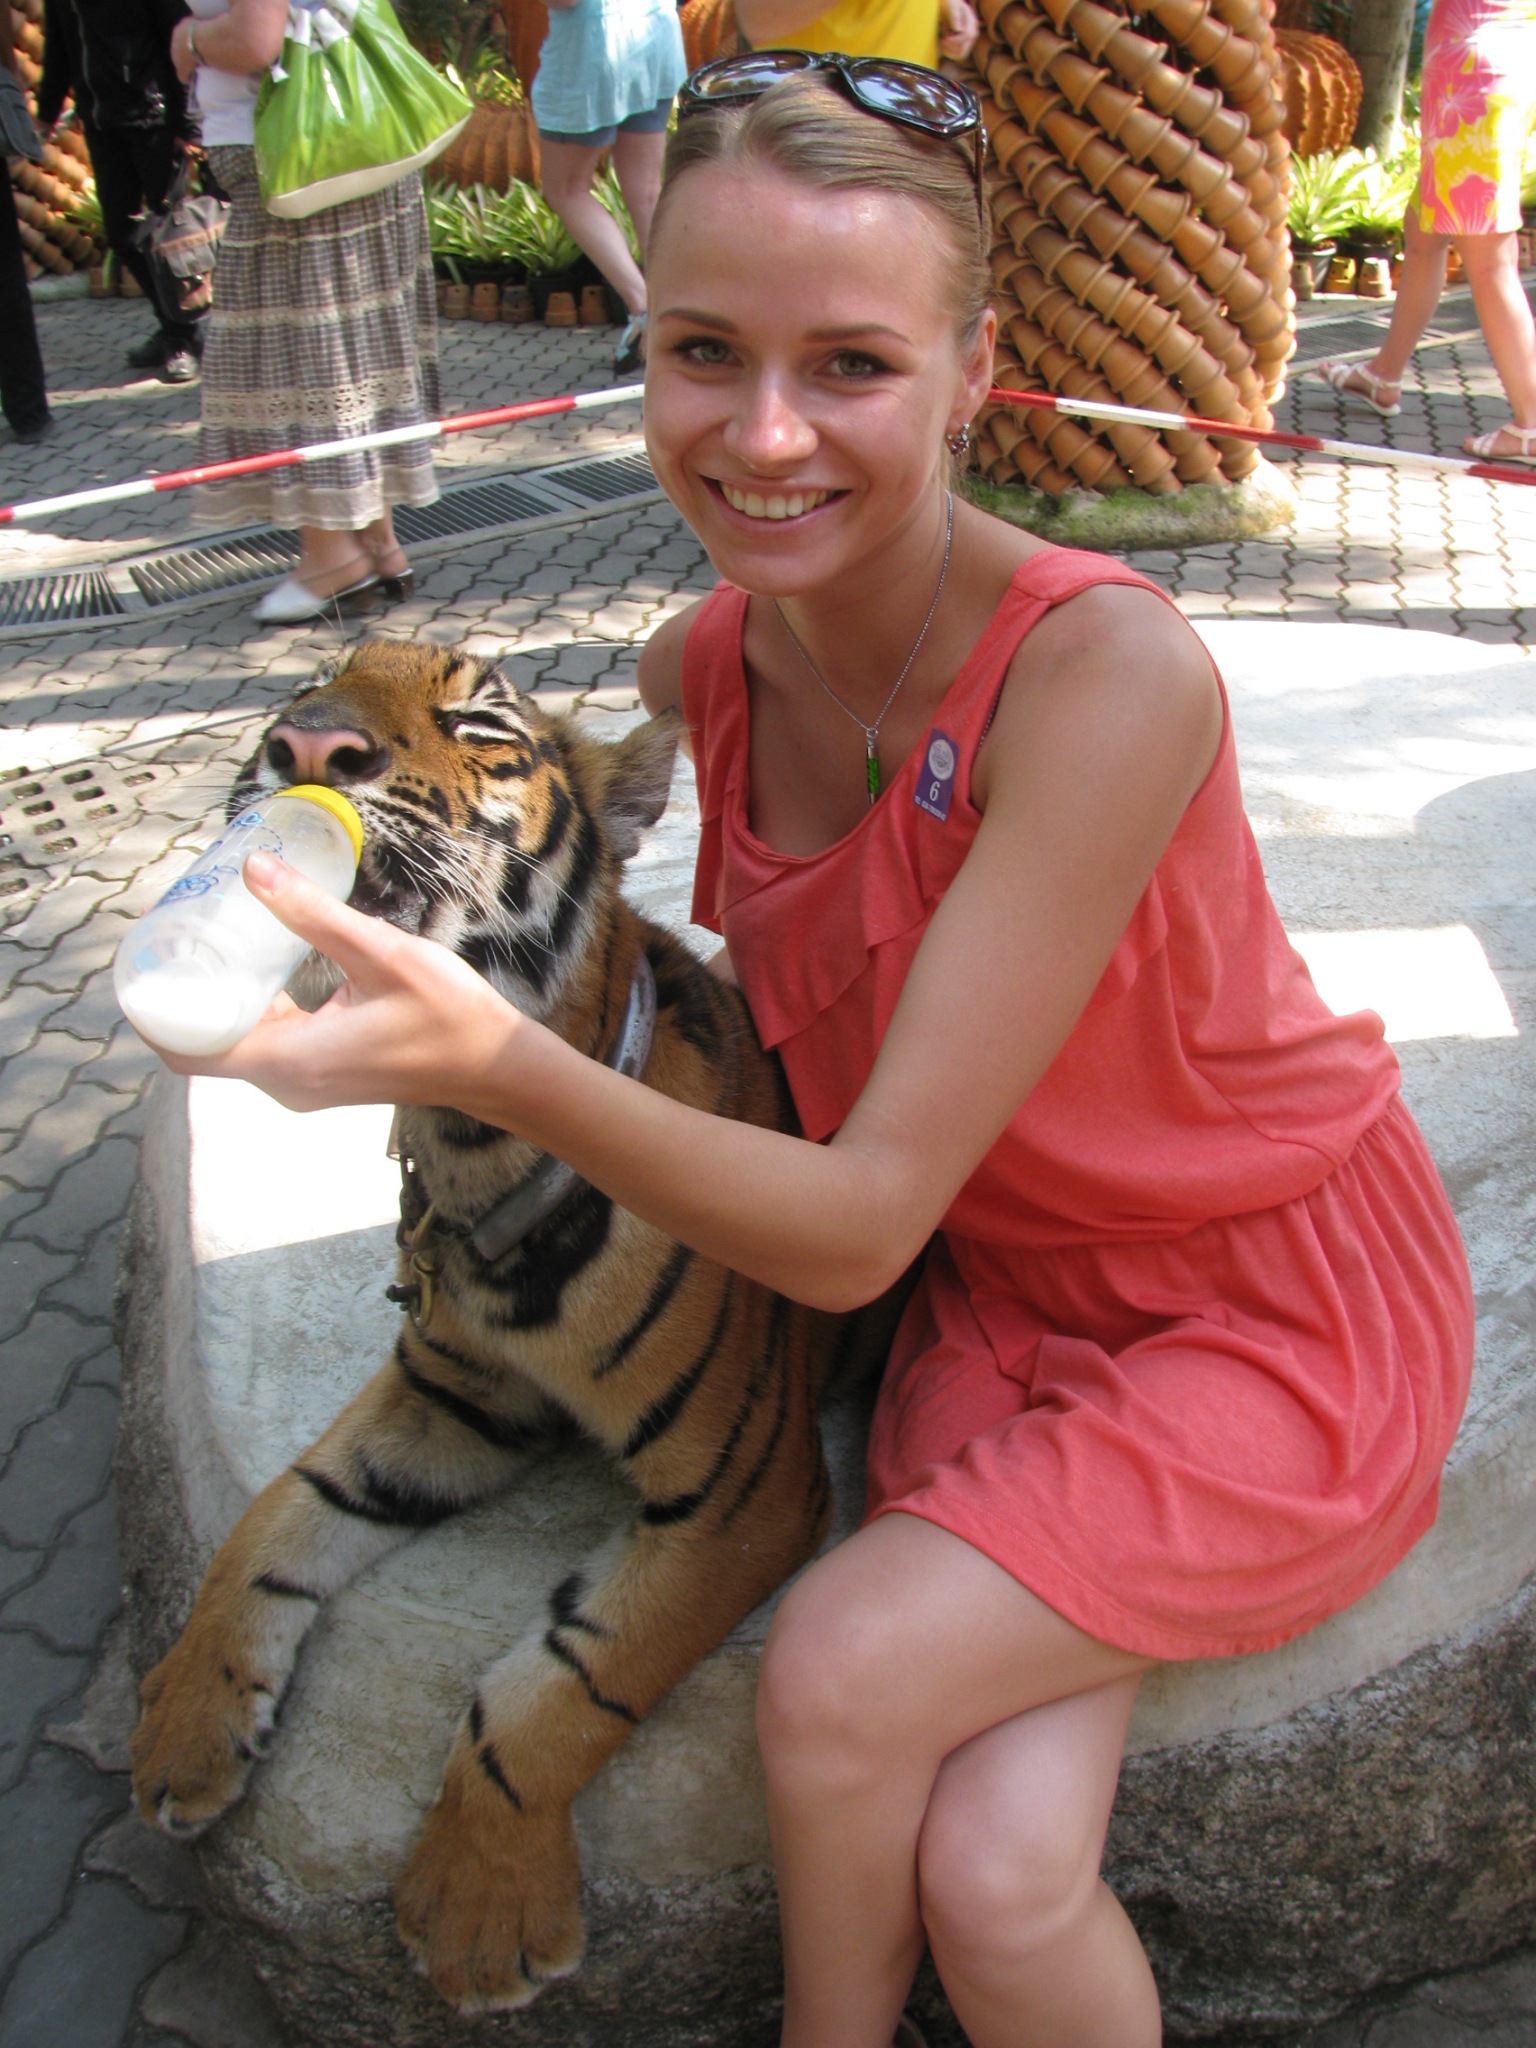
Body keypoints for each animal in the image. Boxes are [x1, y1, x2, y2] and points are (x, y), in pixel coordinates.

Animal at [127, 641, 905, 2016]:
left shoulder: (745, 1492)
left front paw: (477, 1914)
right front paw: (184, 1718)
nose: (304, 747)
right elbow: (280, 1511)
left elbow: (569, 1679)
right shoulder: (450, 1391)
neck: (471, 1140)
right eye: (312, 684)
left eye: (479, 723)